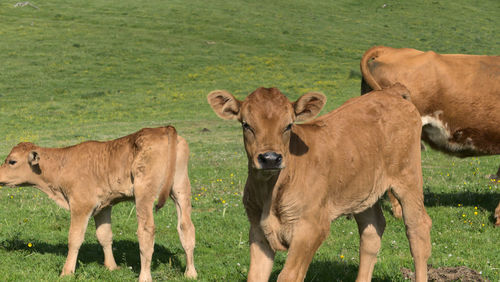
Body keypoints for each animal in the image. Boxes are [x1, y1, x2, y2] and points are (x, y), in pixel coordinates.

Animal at [0, 127, 197, 282]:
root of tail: (162, 129)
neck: (63, 164)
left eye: (12, 161)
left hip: (144, 194)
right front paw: (111, 267)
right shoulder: (103, 206)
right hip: (181, 188)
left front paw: (66, 272)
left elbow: (74, 239)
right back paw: (191, 273)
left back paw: (144, 277)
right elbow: (104, 236)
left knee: (146, 231)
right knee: (186, 227)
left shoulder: (81, 206)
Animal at [209, 84, 432, 282]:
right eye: (246, 125)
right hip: (363, 191)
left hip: (408, 177)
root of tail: (390, 92)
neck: (270, 194)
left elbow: (288, 276)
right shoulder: (258, 229)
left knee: (417, 229)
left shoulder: (312, 227)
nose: (270, 158)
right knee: (372, 232)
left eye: (288, 125)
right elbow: (255, 276)